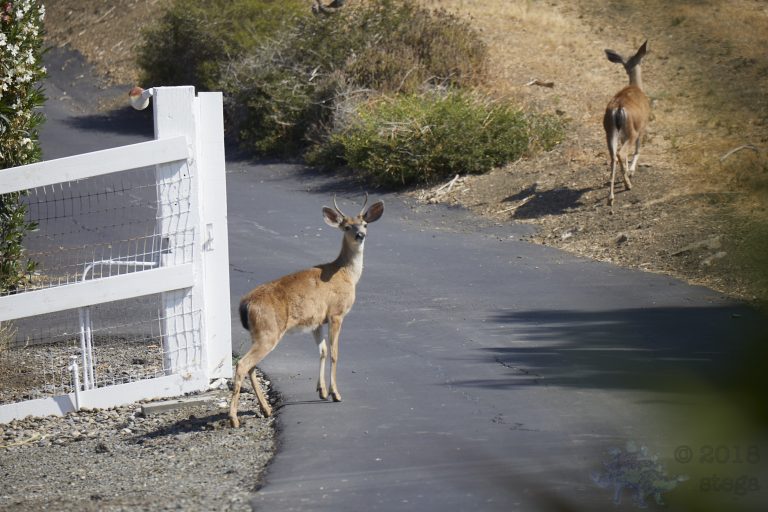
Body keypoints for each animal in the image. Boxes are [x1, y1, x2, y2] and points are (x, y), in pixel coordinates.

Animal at [229, 194, 384, 428]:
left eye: (365, 224)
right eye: (347, 226)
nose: (360, 235)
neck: (346, 274)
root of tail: (245, 304)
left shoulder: (317, 321)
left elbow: (323, 351)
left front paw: (321, 391)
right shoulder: (336, 313)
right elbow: (335, 353)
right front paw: (335, 394)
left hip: (258, 333)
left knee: (251, 366)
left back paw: (265, 409)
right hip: (268, 331)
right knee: (242, 364)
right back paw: (234, 418)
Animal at [603, 40, 650, 206]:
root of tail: (618, 108)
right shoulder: (642, 126)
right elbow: (638, 150)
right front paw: (631, 171)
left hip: (610, 130)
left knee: (613, 156)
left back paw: (611, 197)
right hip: (631, 130)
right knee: (621, 153)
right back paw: (627, 184)